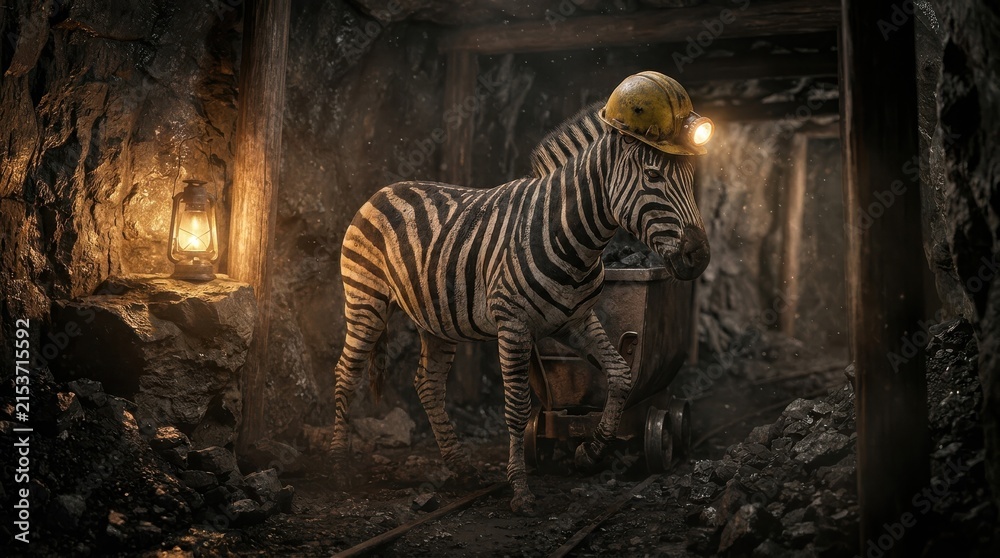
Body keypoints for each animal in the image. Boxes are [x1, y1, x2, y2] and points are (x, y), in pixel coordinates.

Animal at [330, 84, 711, 515]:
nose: (700, 256)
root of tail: (385, 188)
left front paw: (590, 451)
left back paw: (461, 466)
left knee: (427, 383)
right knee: (346, 372)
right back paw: (339, 466)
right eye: (653, 176)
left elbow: (620, 375)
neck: (574, 237)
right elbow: (516, 407)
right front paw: (521, 489)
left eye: (689, 177)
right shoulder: (513, 325)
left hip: (436, 318)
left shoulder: (578, 320)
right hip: (366, 301)